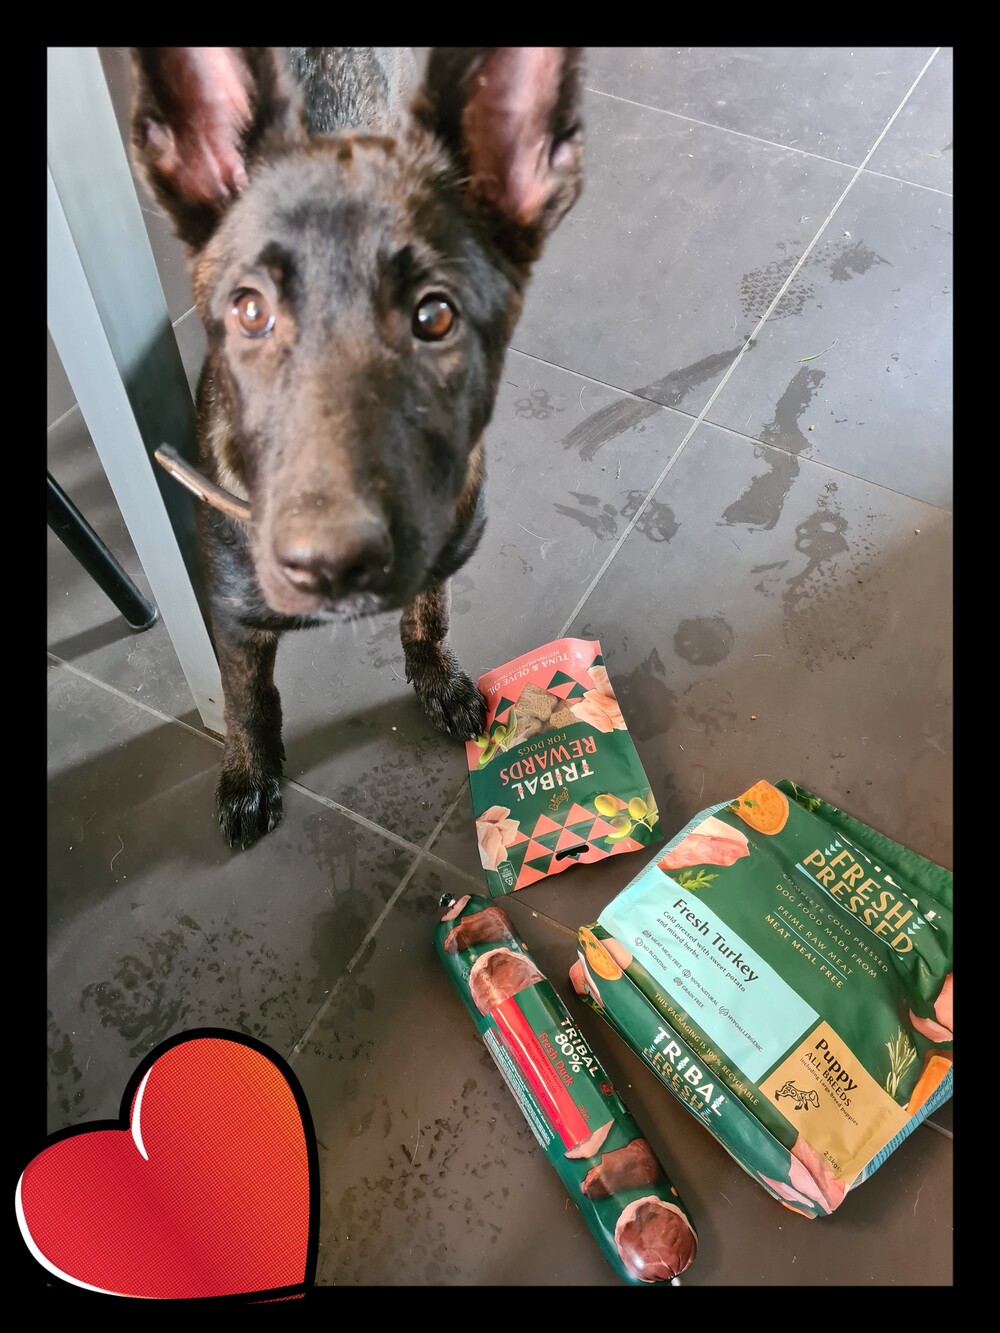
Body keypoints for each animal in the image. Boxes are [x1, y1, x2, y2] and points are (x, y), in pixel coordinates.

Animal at [129, 48, 584, 848]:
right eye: (250, 311)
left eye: (435, 317)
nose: (333, 557)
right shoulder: (231, 612)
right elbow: (244, 697)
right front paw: (250, 772)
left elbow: (428, 614)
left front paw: (436, 677)